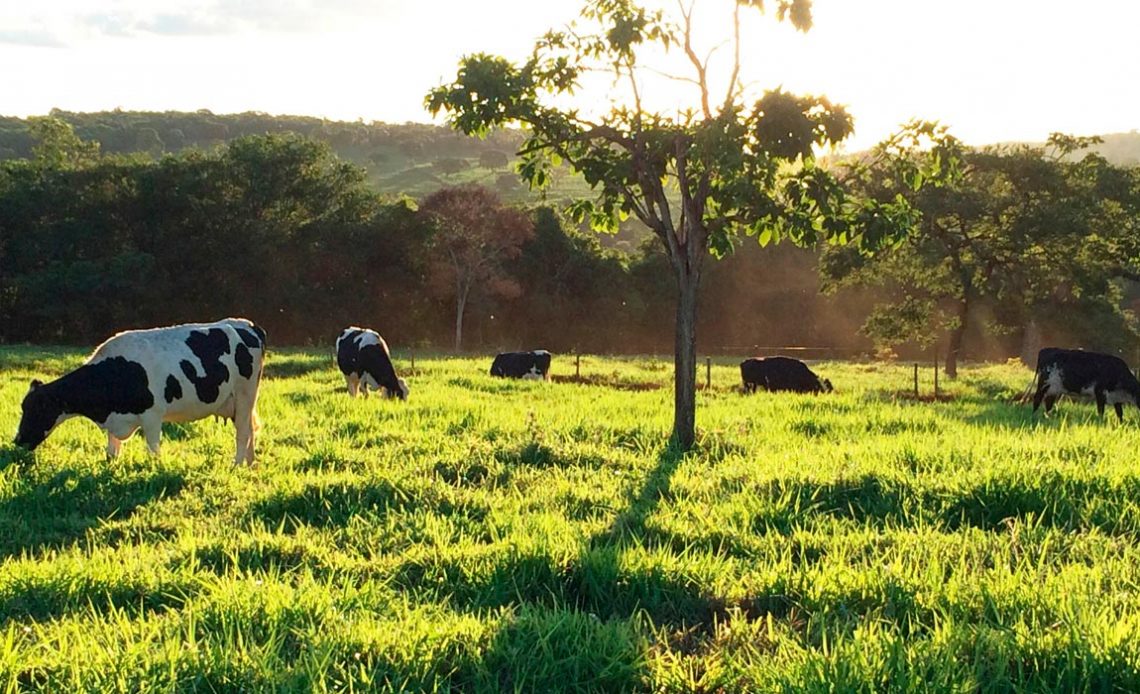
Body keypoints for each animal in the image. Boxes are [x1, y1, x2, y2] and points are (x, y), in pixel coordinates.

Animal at [15, 316, 266, 462]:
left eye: (37, 409)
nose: (17, 440)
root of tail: (248, 324)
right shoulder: (115, 419)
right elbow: (111, 453)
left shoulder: (153, 416)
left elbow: (153, 451)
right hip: (238, 402)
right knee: (251, 429)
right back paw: (250, 464)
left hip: (245, 394)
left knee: (243, 432)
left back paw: (237, 465)